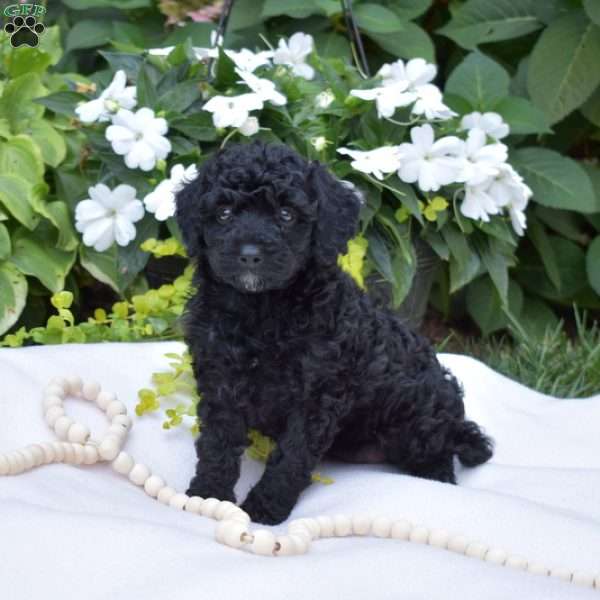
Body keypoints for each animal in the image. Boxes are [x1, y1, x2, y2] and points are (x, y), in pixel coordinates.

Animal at [175, 141, 492, 524]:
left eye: (286, 214)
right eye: (223, 214)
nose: (249, 254)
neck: (261, 309)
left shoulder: (316, 395)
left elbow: (292, 456)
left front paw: (265, 507)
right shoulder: (219, 377)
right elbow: (217, 442)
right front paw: (208, 495)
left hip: (416, 418)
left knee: (439, 452)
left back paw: (437, 478)